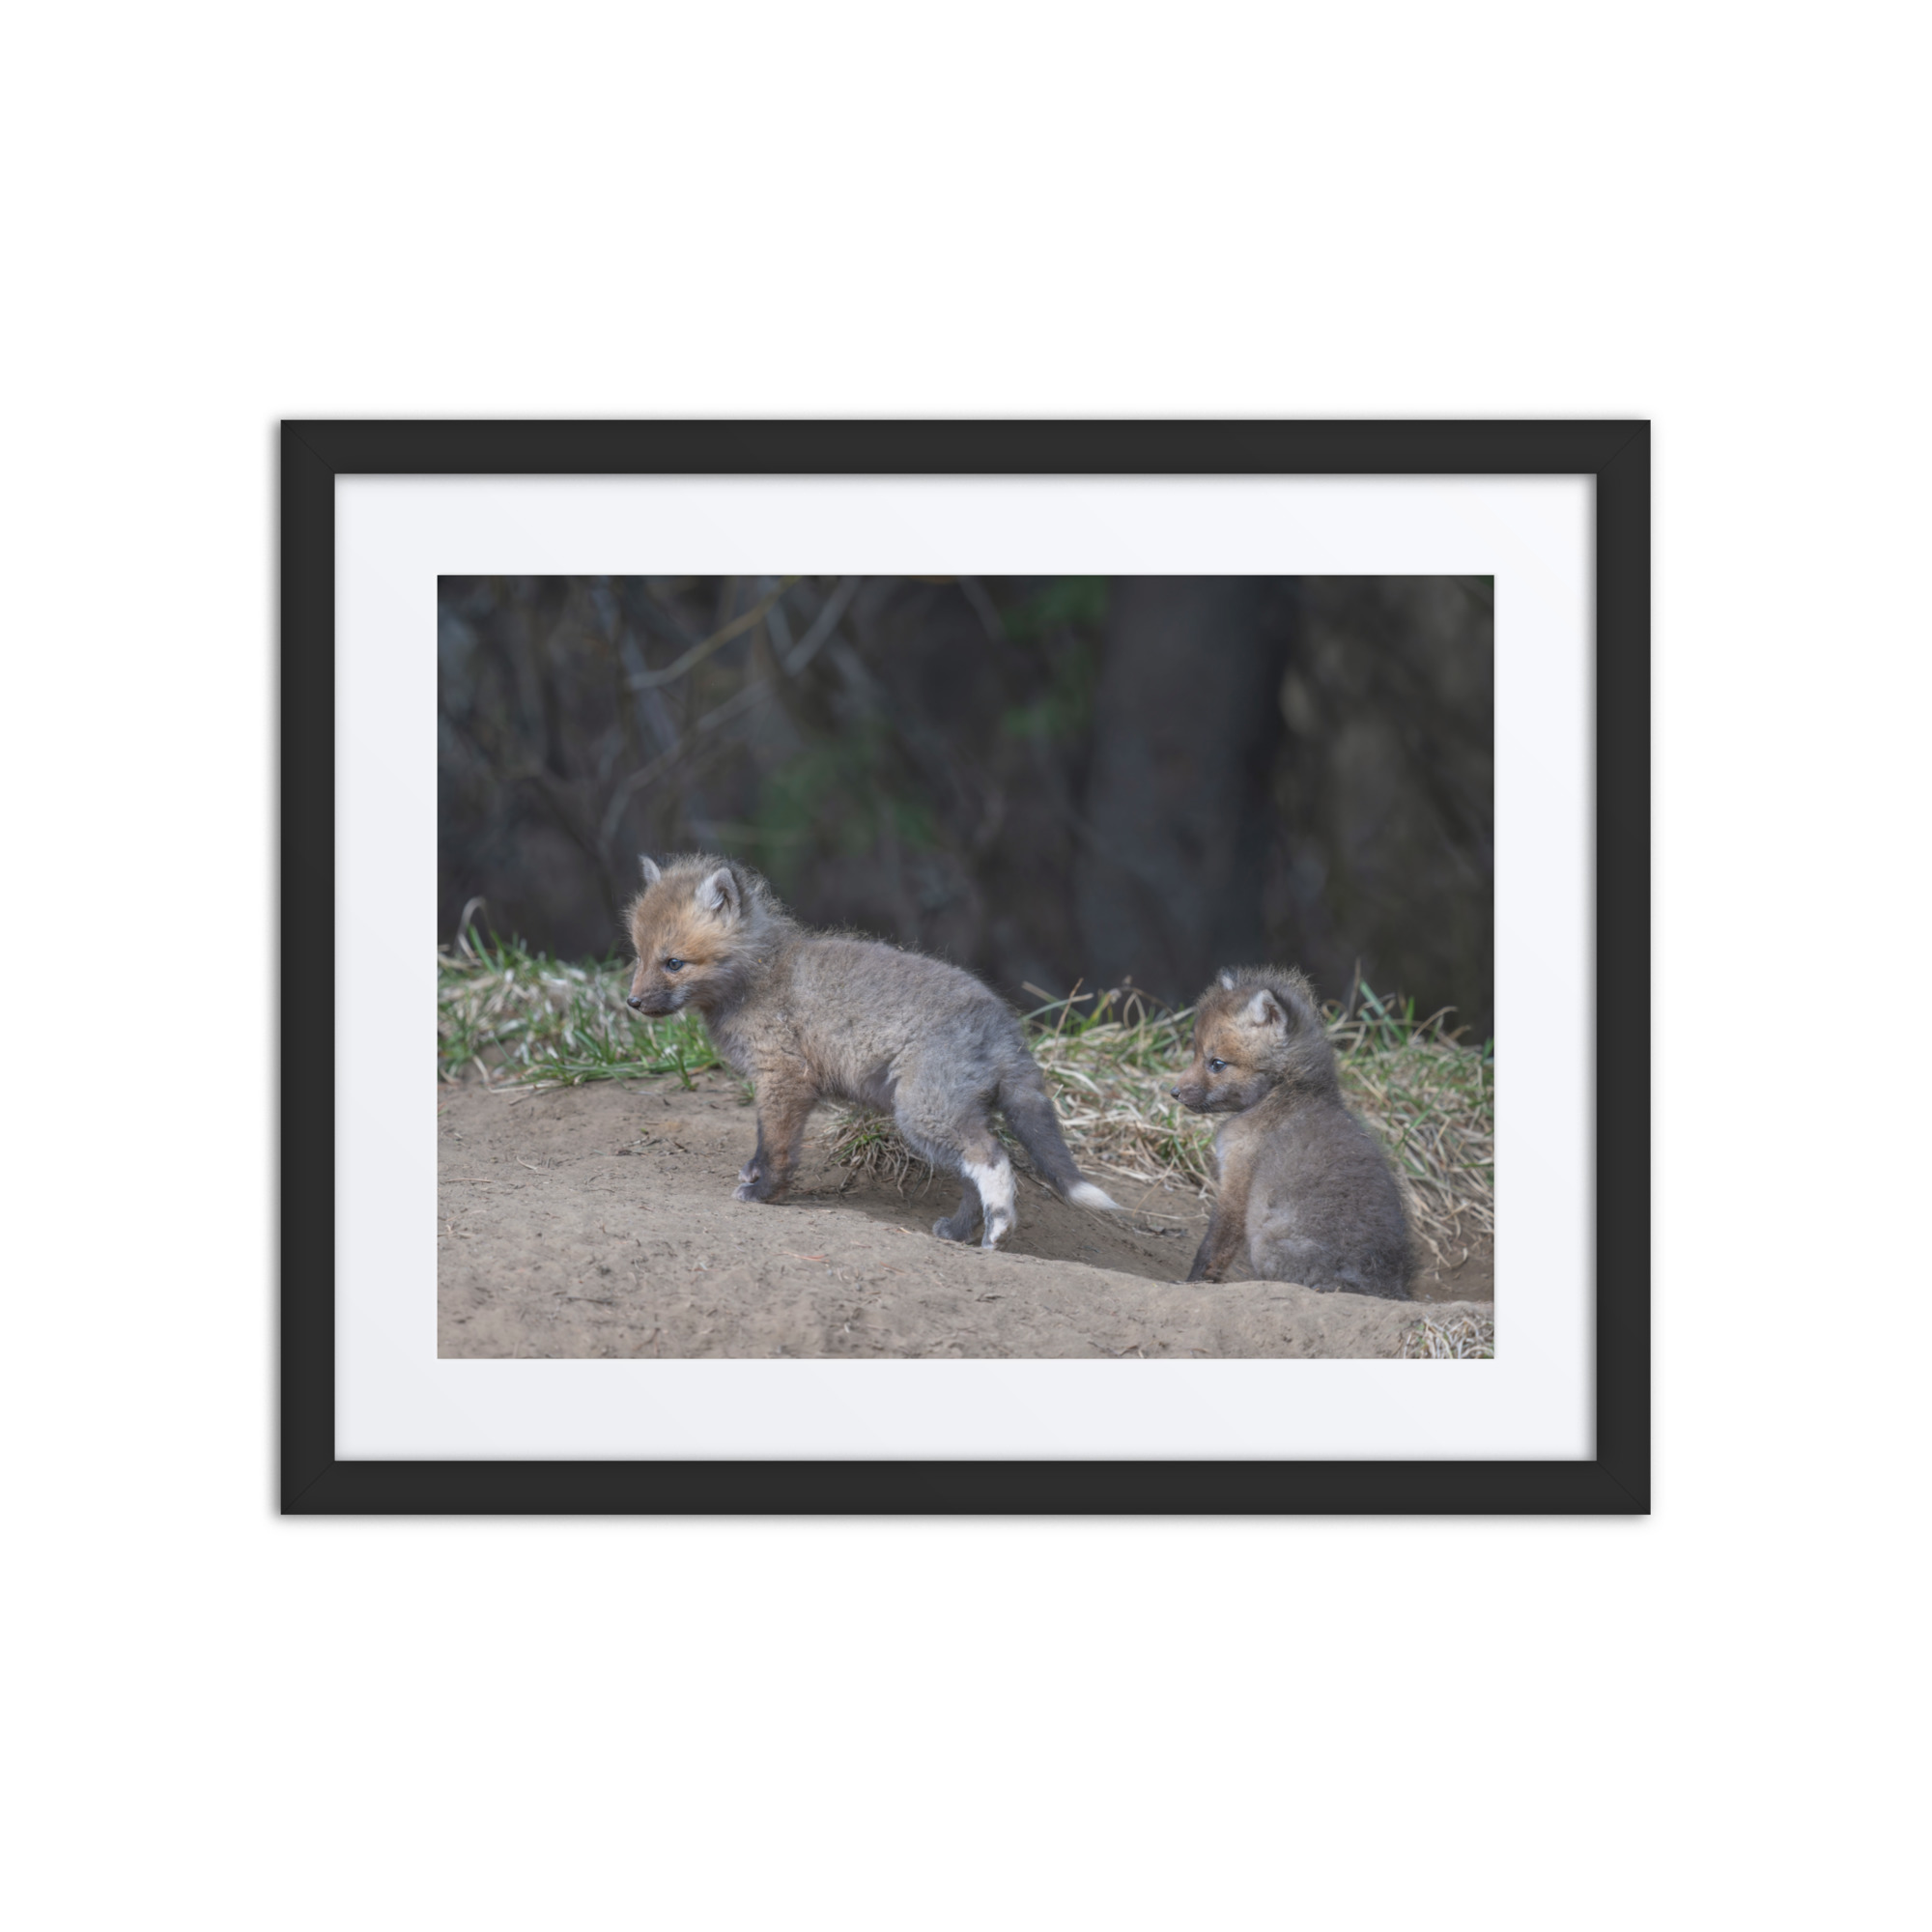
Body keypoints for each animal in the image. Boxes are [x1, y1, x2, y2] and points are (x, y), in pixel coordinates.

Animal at [623, 854, 1121, 1248]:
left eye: (674, 963)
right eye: (639, 956)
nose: (632, 1002)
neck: (758, 976)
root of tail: (1004, 1024)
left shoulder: (784, 1077)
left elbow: (776, 1146)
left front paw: (765, 1193)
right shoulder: (780, 1084)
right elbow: (765, 1140)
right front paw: (755, 1175)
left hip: (923, 1113)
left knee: (993, 1157)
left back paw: (999, 1231)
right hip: (945, 1118)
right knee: (971, 1177)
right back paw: (960, 1232)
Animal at [1172, 966, 1414, 1298]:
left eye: (1216, 1064)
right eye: (1196, 1053)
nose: (1174, 1092)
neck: (1285, 1091)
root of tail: (1383, 1287)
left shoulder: (1237, 1181)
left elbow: (1213, 1246)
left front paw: (1192, 1283)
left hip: (1265, 1245)